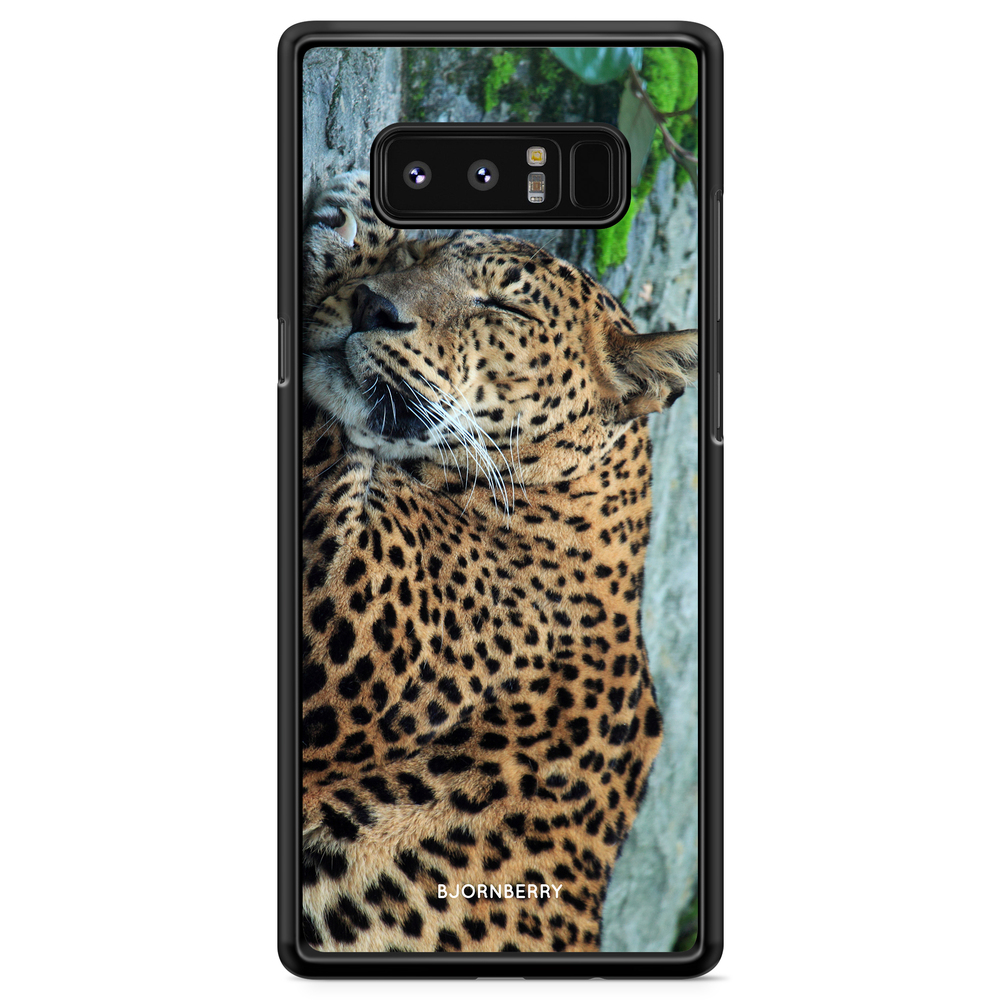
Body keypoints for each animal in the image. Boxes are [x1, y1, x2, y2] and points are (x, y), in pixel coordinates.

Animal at [299, 170, 697, 953]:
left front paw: (347, 230)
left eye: (503, 306)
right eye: (429, 253)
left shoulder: (347, 608)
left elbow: (321, 433)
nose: (372, 306)